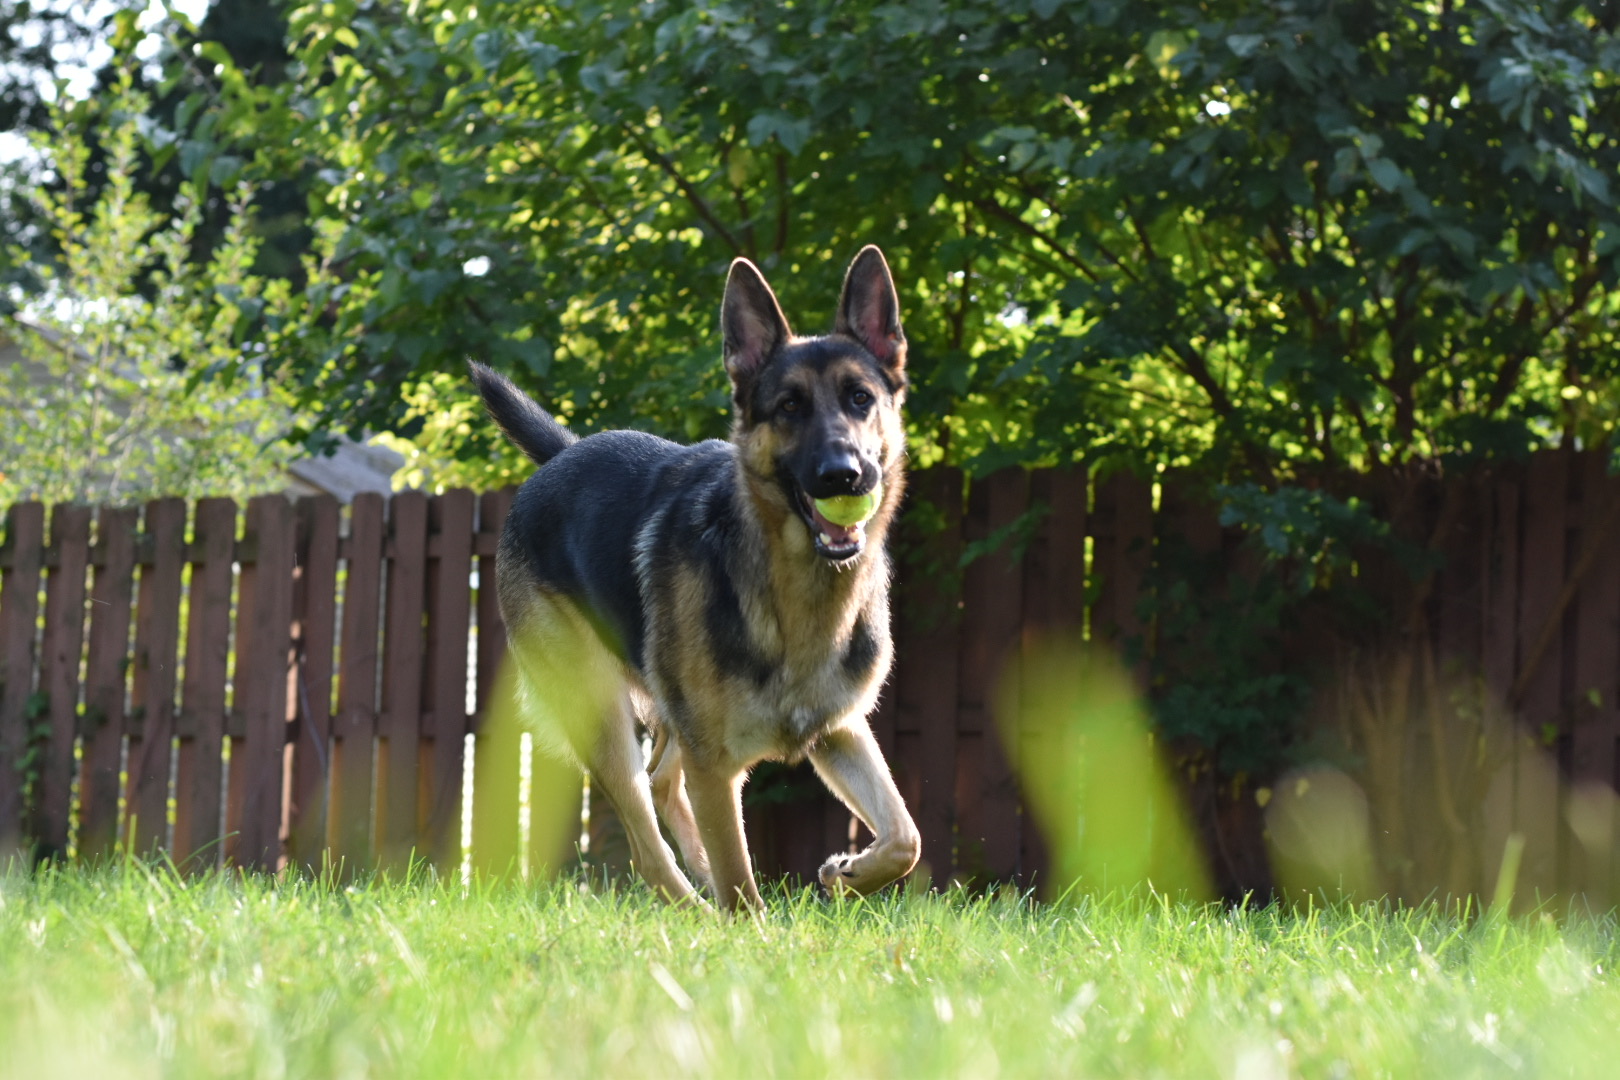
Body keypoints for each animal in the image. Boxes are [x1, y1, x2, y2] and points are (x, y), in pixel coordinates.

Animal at [473, 247, 920, 913]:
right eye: (789, 407)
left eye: (861, 398)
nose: (844, 475)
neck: (791, 596)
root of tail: (563, 454)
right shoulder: (716, 766)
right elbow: (742, 885)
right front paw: (756, 930)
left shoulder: (837, 729)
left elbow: (904, 837)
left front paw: (849, 873)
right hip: (604, 715)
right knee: (648, 844)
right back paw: (698, 909)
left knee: (662, 785)